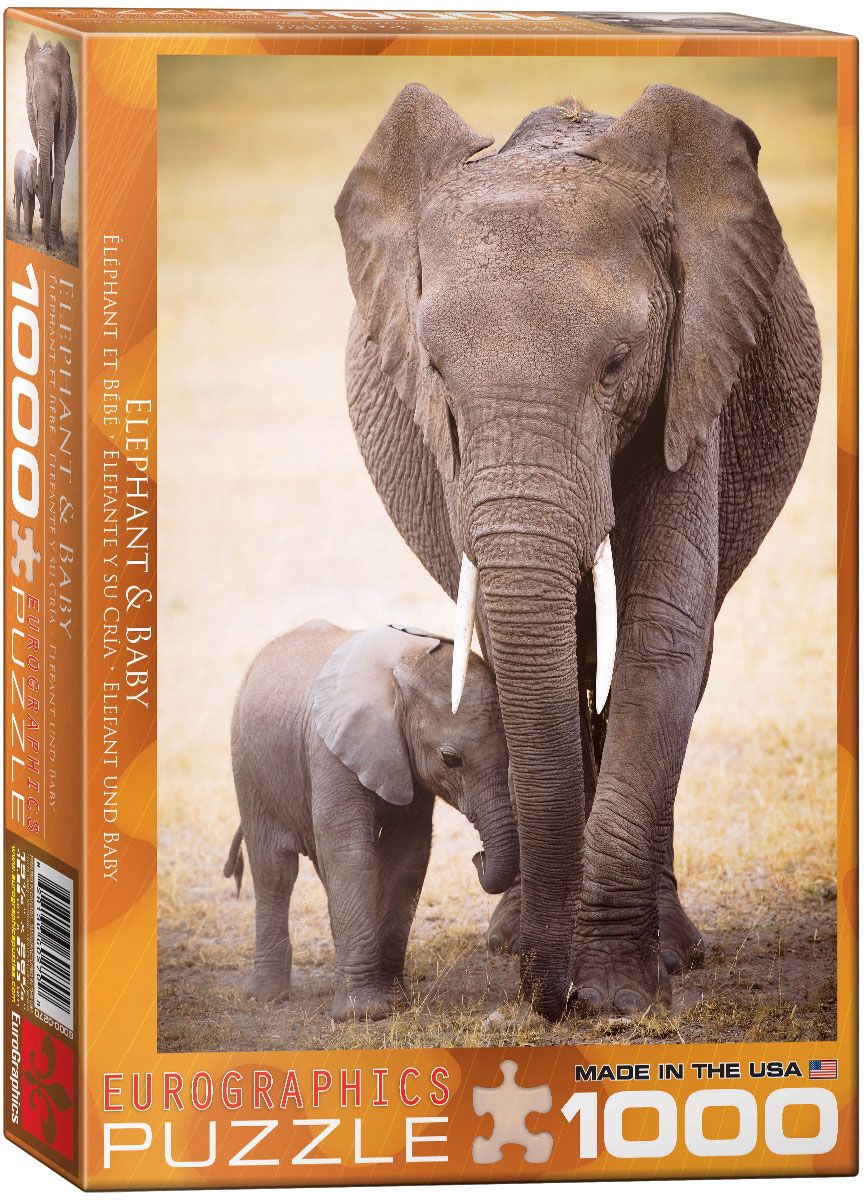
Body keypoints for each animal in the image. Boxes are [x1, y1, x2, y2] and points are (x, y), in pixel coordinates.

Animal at [224, 620, 518, 1021]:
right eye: (451, 759)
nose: (479, 857)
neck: (401, 669)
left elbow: (408, 855)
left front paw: (396, 1001)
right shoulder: (330, 750)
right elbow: (351, 852)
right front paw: (362, 1015)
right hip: (250, 770)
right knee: (275, 870)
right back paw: (268, 996)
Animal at [335, 84, 821, 1020]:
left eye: (618, 362)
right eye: (436, 372)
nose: (547, 999)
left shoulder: (694, 371)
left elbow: (662, 633)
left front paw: (619, 996)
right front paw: (567, 969)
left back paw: (672, 951)